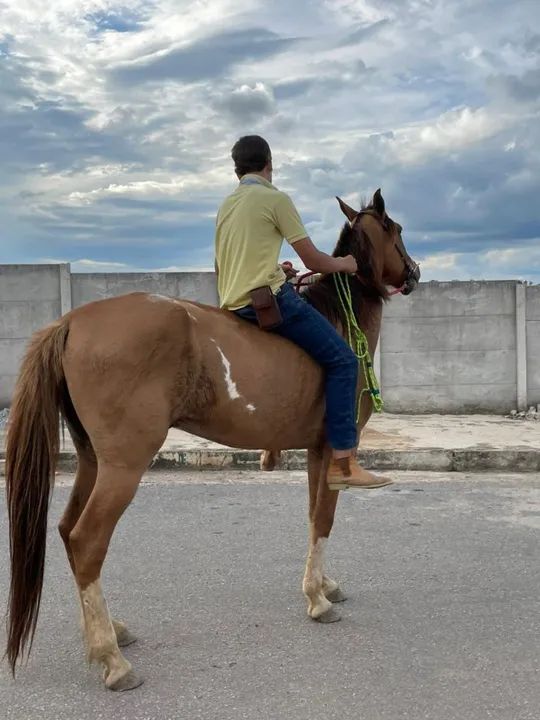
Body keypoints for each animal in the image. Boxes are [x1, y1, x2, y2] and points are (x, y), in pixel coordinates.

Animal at [5, 189, 420, 691]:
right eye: (396, 230)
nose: (414, 272)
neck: (339, 317)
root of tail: (72, 322)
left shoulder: (314, 452)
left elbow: (313, 518)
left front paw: (324, 586)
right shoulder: (331, 451)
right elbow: (324, 519)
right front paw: (317, 600)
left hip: (93, 462)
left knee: (68, 531)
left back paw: (109, 632)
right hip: (123, 467)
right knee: (87, 541)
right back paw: (112, 660)